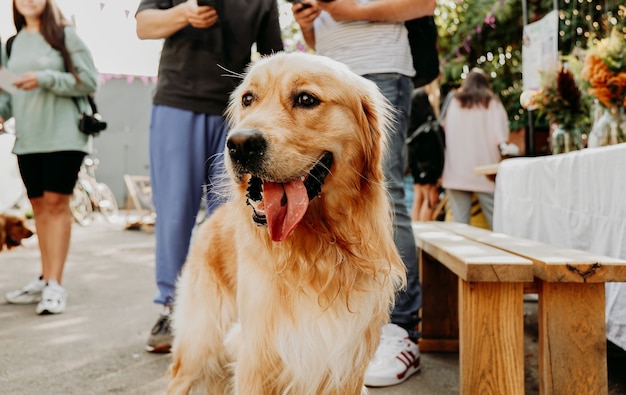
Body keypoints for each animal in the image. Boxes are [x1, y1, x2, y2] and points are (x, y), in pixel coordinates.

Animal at [167, 52, 404, 395]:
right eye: (248, 99)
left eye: (306, 99)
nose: (239, 144)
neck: (319, 252)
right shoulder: (257, 357)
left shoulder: (346, 363)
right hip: (201, 342)